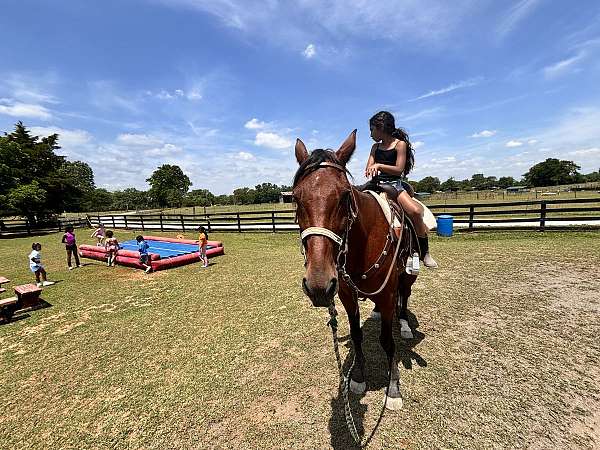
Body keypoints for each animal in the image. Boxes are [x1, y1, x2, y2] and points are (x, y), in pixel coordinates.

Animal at [292, 129, 418, 412]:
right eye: (295, 197)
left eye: (344, 195)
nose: (318, 285)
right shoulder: (346, 295)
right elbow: (357, 335)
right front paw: (359, 379)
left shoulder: (387, 294)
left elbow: (387, 340)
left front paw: (393, 389)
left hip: (407, 276)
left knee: (404, 296)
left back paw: (404, 324)